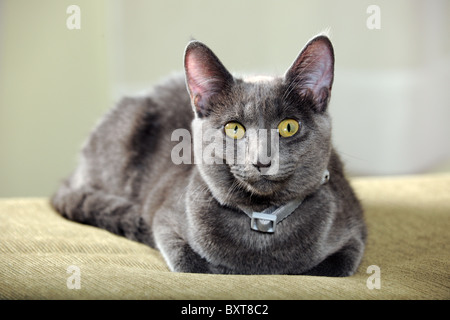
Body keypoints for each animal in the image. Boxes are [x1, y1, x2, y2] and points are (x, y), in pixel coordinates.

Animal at [51, 34, 366, 276]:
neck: (263, 217)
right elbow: (191, 264)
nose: (262, 160)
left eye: (288, 126)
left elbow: (330, 268)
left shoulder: (354, 230)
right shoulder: (165, 221)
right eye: (234, 128)